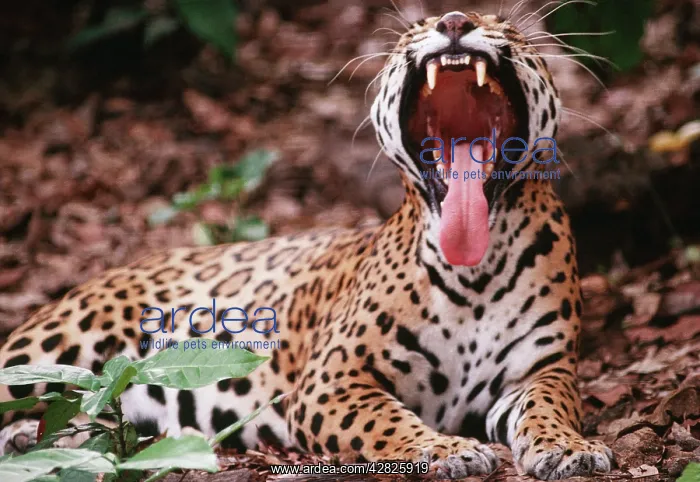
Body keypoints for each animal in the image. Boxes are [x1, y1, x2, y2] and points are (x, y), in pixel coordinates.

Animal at [0, 10, 614, 480]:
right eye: (416, 27)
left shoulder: (544, 369)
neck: (475, 271)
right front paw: (447, 448)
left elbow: (551, 406)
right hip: (53, 347)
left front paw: (569, 447)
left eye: (503, 24)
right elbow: (387, 421)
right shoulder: (333, 378)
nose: (455, 21)